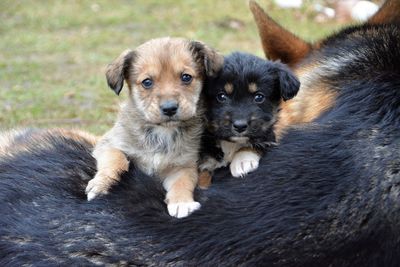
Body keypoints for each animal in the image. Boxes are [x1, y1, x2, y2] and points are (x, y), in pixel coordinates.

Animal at [85, 37, 223, 219]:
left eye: (186, 77)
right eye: (147, 82)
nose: (169, 108)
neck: (161, 132)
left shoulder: (183, 166)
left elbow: (183, 182)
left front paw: (181, 203)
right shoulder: (109, 144)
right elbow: (116, 160)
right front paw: (101, 184)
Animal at [198, 51, 298, 187]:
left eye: (259, 97)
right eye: (221, 96)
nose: (240, 126)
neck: (231, 144)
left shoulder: (268, 137)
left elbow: (257, 143)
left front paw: (242, 161)